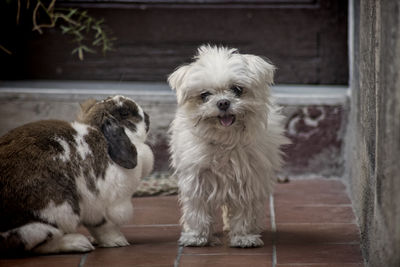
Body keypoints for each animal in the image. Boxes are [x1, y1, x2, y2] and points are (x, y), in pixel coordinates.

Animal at [0, 94, 154, 255]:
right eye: (124, 112)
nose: (147, 116)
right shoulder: (97, 205)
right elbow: (104, 227)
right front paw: (118, 242)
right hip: (55, 214)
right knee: (34, 245)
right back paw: (79, 243)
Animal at [167, 45, 290, 249]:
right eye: (205, 95)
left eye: (237, 90)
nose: (223, 102)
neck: (225, 141)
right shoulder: (197, 179)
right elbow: (197, 210)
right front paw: (196, 236)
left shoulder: (248, 180)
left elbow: (245, 212)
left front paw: (244, 237)